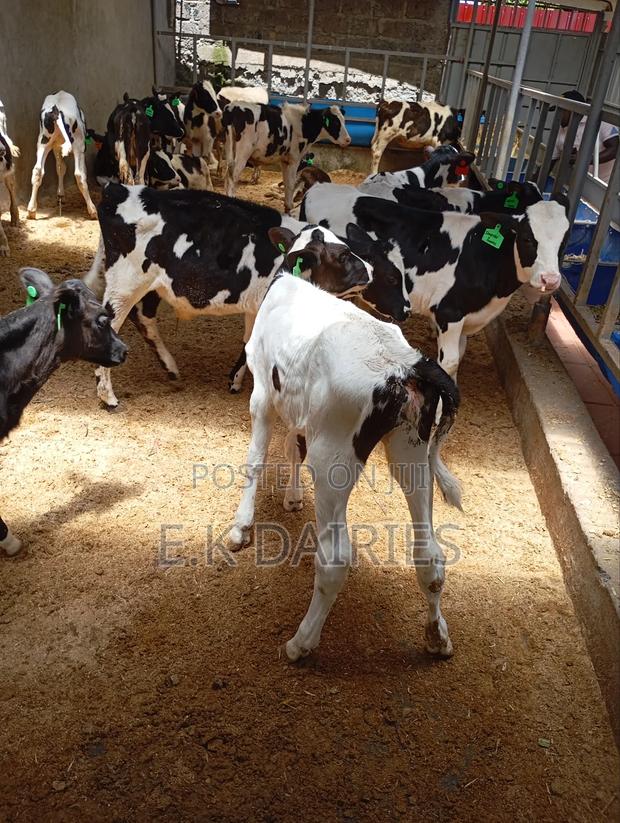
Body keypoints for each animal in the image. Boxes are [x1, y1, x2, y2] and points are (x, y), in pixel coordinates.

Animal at [26, 91, 97, 220]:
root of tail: (56, 111)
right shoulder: (80, 148)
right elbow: (82, 171)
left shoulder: (56, 147)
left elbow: (60, 168)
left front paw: (60, 195)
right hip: (78, 144)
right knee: (79, 175)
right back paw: (92, 209)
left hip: (43, 142)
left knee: (38, 170)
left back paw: (31, 210)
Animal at [84, 184, 398, 409]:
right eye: (344, 256)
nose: (369, 270)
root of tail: (118, 189)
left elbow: (248, 341)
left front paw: (236, 379)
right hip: (125, 284)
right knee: (114, 323)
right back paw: (107, 396)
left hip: (154, 285)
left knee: (144, 318)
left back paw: (170, 368)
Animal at [230, 246, 461, 661]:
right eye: (345, 256)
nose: (370, 271)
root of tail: (405, 366)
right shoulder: (297, 404)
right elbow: (293, 443)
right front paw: (292, 496)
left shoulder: (262, 392)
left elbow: (255, 458)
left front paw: (241, 526)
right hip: (411, 449)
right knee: (430, 554)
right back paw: (437, 637)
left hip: (333, 460)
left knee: (335, 559)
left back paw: (301, 643)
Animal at [303, 188, 571, 385]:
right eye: (527, 238)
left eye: (564, 240)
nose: (550, 279)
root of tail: (319, 189)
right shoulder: (449, 313)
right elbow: (449, 362)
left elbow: (459, 356)